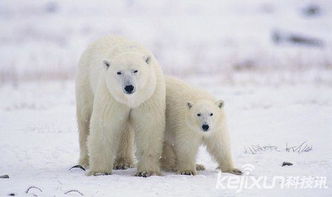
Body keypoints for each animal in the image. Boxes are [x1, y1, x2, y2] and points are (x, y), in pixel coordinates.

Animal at [76, 35, 167, 177]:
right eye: (119, 72)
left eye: (135, 70)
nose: (129, 87)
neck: (130, 100)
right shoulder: (111, 95)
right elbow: (105, 125)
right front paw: (99, 171)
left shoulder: (148, 96)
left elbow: (148, 126)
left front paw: (146, 171)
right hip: (85, 84)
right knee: (84, 121)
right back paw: (85, 162)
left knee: (125, 129)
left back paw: (123, 162)